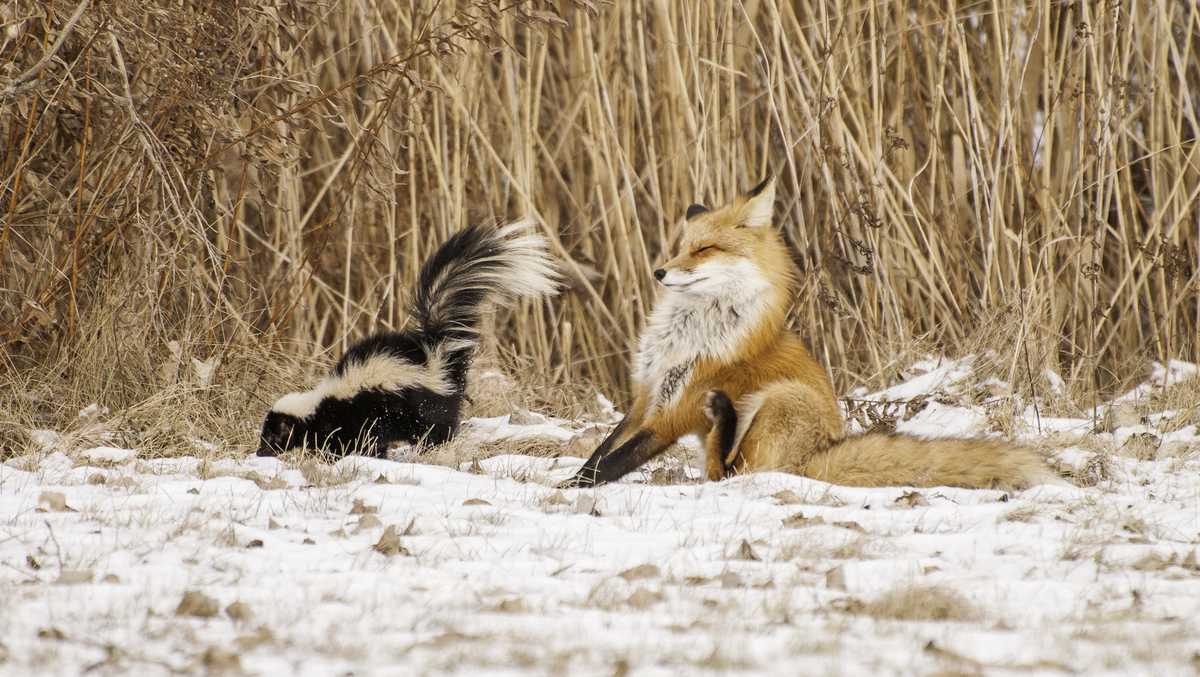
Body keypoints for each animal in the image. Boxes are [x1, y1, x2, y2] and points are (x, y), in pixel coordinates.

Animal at [563, 175, 1056, 490]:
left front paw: (567, 491)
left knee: (733, 473)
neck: (686, 335)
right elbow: (602, 452)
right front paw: (569, 481)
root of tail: (819, 456)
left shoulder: (674, 412)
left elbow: (609, 466)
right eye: (681, 247)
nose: (660, 271)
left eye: (705, 250)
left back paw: (725, 414)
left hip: (782, 399)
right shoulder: (646, 397)